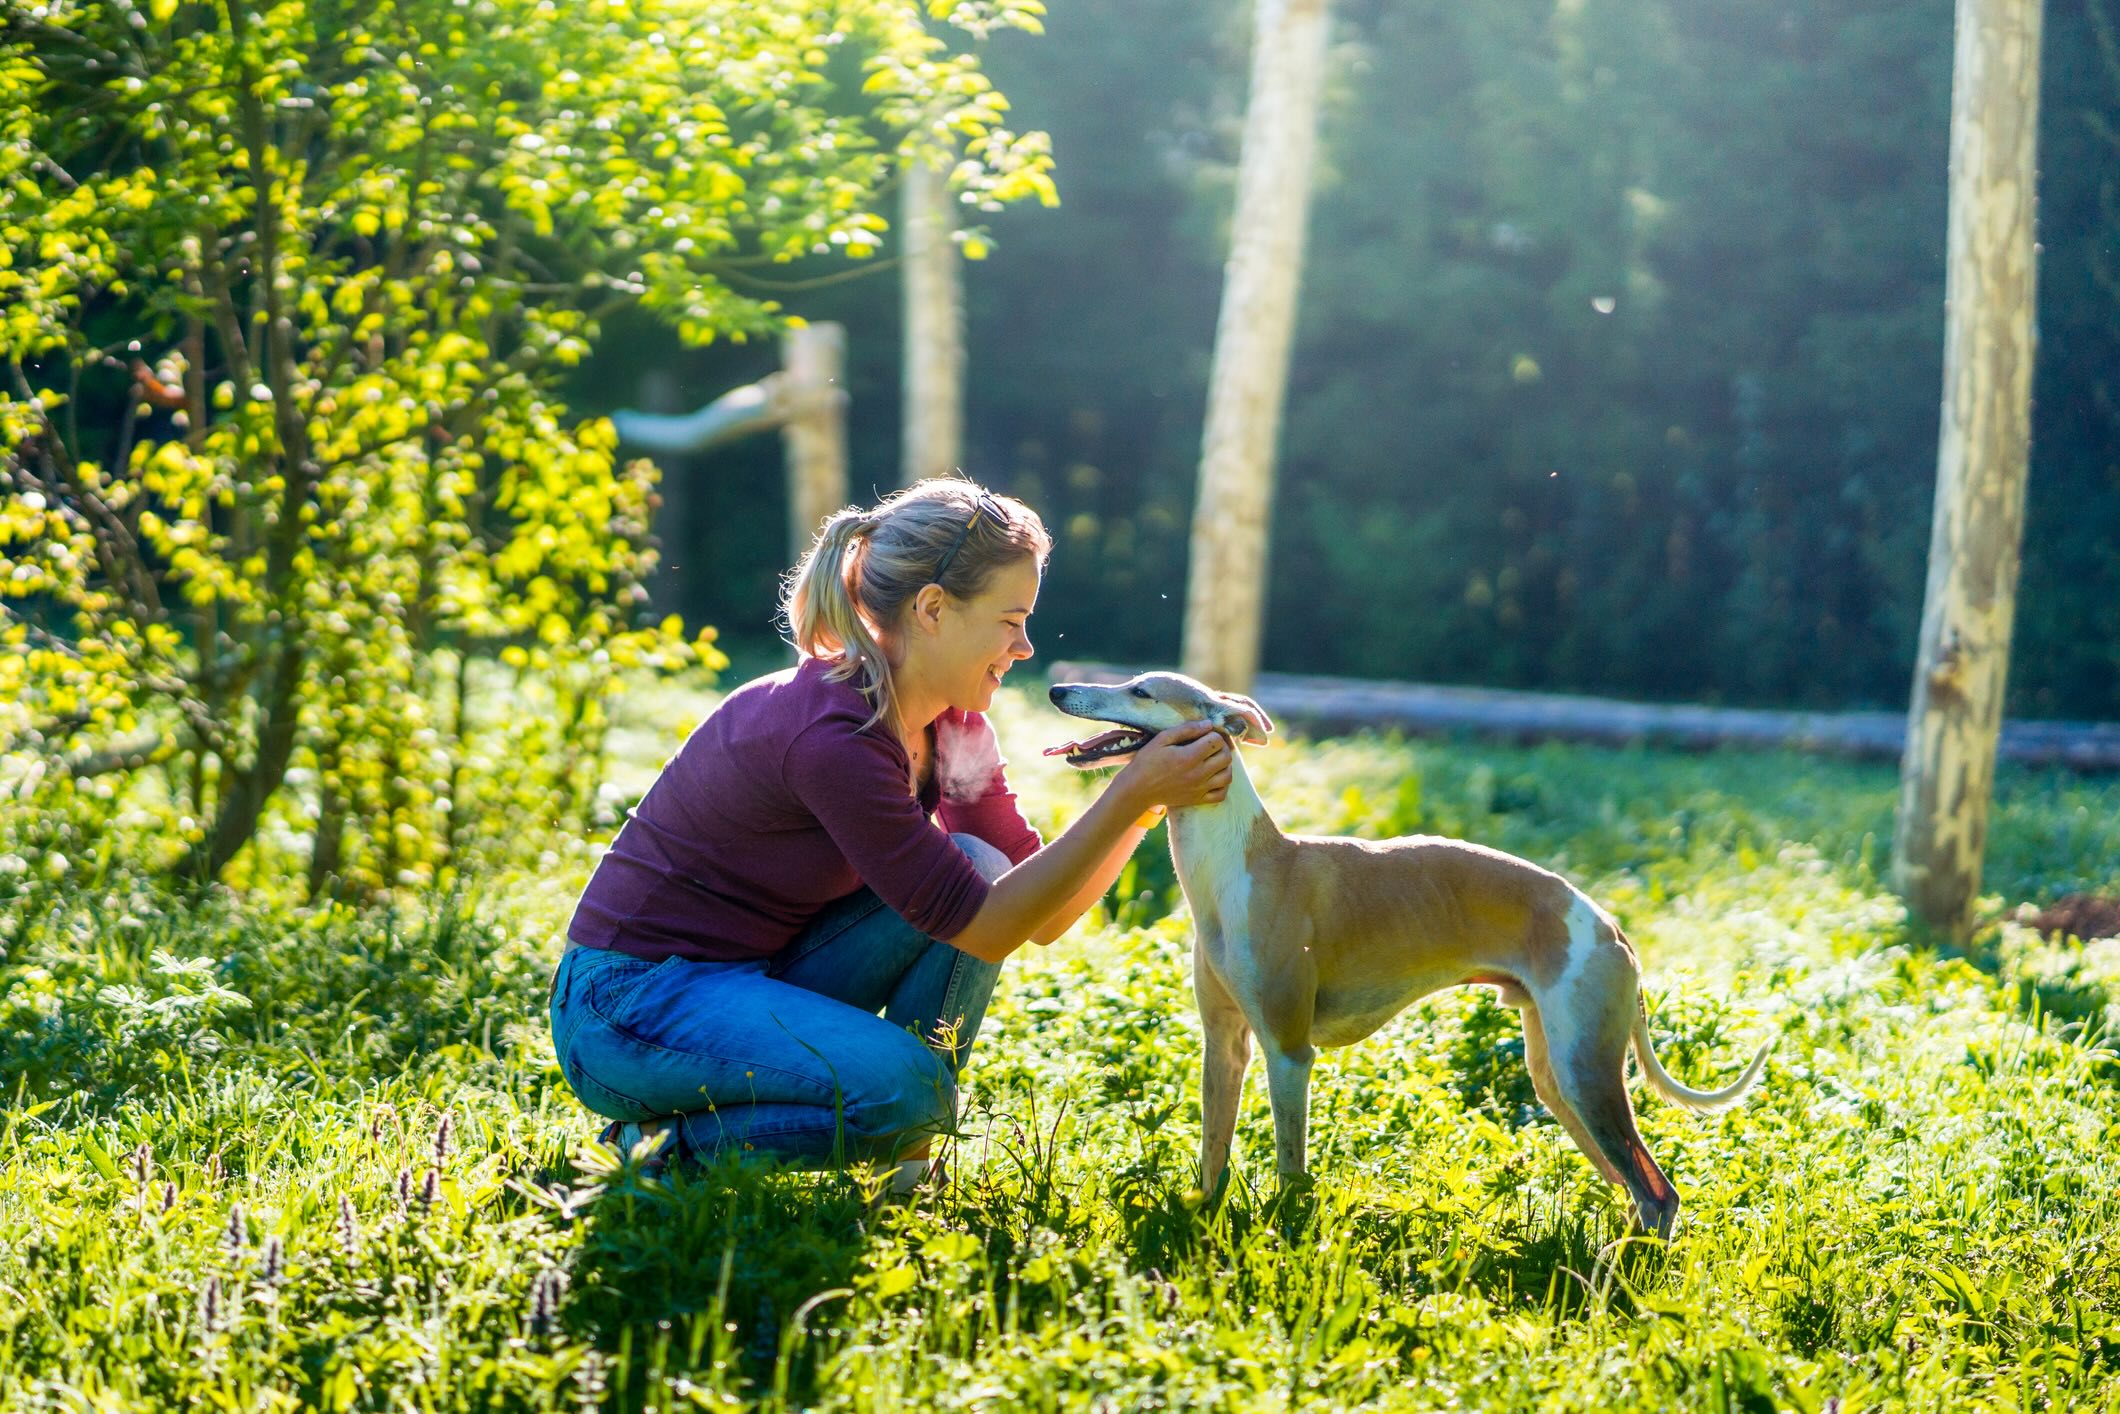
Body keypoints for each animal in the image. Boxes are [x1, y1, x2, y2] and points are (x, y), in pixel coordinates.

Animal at [1047, 674, 1772, 1238]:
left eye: (1141, 691)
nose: (1057, 689)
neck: (1238, 865)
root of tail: (1613, 929)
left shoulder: (1288, 1050)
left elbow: (1291, 1167)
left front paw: (1286, 1233)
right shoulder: (1224, 1044)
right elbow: (1212, 1157)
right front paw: (1200, 1216)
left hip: (1585, 1073)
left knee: (1657, 1193)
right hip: (1559, 1076)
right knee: (1633, 1188)